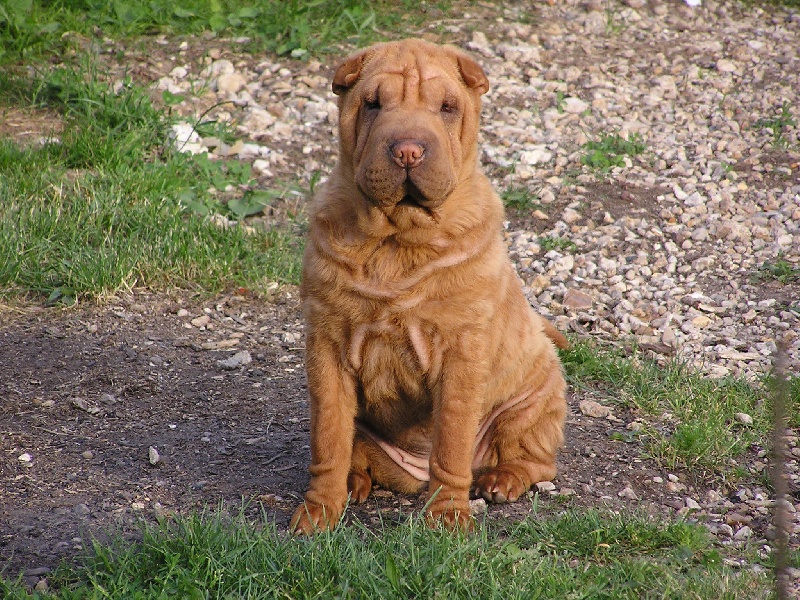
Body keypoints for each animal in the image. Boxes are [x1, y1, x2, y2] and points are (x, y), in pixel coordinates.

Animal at [292, 38, 568, 536]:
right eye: (373, 104)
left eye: (446, 108)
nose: (407, 151)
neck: (397, 239)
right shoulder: (326, 346)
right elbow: (329, 438)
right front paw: (318, 512)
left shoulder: (461, 351)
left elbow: (451, 440)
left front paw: (449, 517)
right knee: (356, 452)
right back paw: (355, 483)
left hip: (533, 399)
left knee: (535, 460)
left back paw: (501, 480)